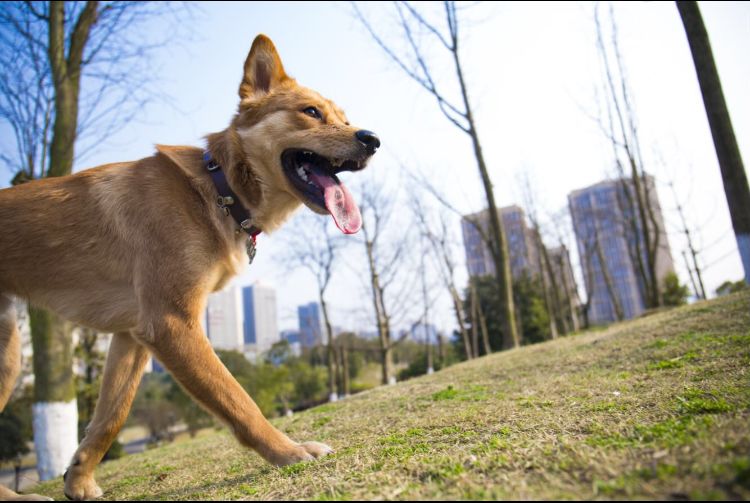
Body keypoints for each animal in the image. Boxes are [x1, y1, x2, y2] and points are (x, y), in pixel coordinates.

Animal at [0, 33, 378, 502]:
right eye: (311, 112)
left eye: (345, 118)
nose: (373, 139)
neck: (218, 189)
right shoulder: (172, 324)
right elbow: (239, 400)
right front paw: (288, 452)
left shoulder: (133, 337)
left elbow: (109, 418)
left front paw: (80, 480)